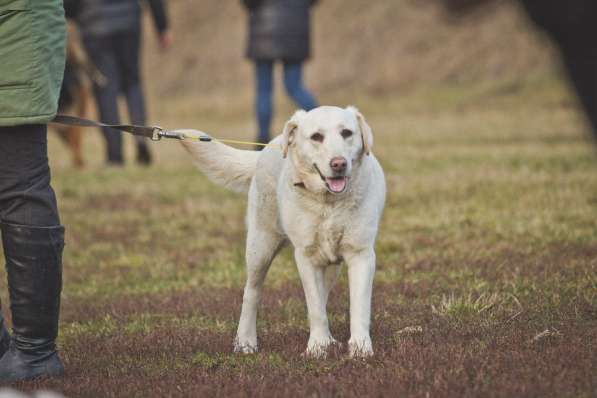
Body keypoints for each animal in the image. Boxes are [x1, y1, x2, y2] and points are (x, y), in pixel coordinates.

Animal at [183, 105, 386, 358]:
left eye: (347, 133)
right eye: (316, 137)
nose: (339, 163)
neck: (328, 204)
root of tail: (268, 146)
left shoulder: (361, 255)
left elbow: (358, 307)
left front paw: (360, 349)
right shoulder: (306, 257)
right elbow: (315, 308)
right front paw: (317, 348)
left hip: (331, 266)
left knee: (324, 294)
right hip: (260, 248)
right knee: (251, 293)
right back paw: (245, 342)